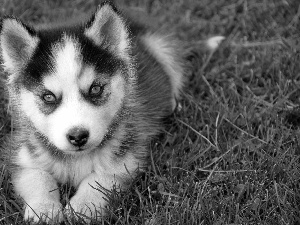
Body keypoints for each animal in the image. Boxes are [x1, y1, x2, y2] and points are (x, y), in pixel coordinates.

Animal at [0, 1, 183, 223]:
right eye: (48, 97)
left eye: (95, 89)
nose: (78, 136)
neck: (75, 160)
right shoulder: (23, 154)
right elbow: (38, 177)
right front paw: (43, 209)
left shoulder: (126, 157)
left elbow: (99, 180)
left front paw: (82, 208)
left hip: (163, 48)